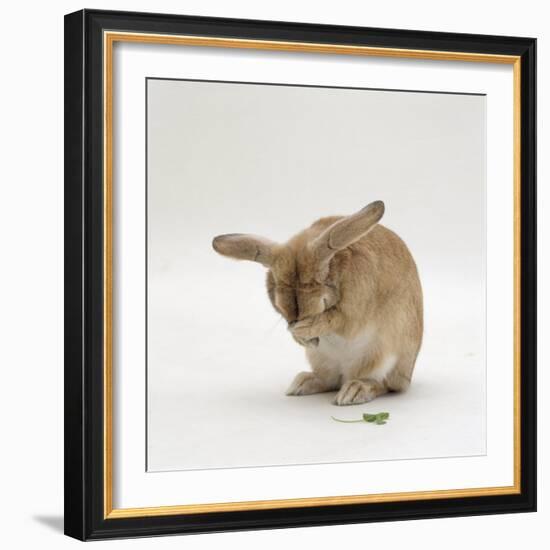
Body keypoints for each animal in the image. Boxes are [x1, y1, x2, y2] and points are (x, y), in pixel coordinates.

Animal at [213, 202, 424, 406]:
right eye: (279, 306)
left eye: (321, 304)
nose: (313, 342)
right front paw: (298, 336)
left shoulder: (353, 312)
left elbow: (339, 320)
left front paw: (304, 329)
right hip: (321, 360)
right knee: (330, 380)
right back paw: (301, 383)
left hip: (386, 356)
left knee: (383, 384)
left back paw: (354, 391)